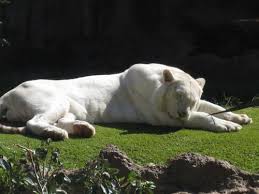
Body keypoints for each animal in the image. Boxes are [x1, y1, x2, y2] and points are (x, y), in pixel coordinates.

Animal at [0, 63, 253, 139]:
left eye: (192, 98)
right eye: (178, 95)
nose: (183, 113)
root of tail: (7, 93)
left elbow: (214, 107)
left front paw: (240, 116)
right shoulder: (162, 118)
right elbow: (203, 116)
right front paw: (227, 125)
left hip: (70, 108)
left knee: (59, 119)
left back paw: (83, 128)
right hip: (53, 99)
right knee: (34, 121)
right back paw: (57, 134)